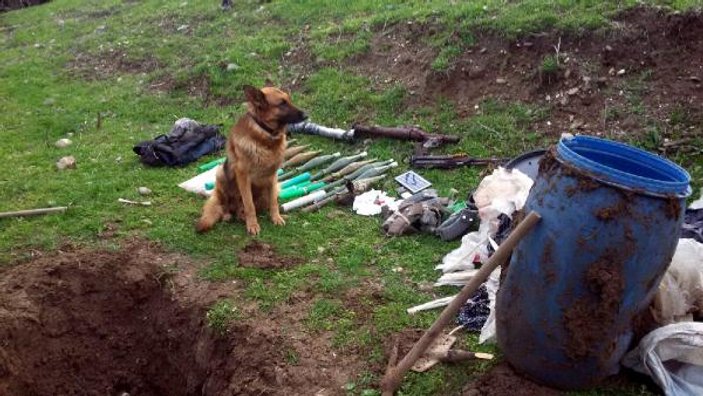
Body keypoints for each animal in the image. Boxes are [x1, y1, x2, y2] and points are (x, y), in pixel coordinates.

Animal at [198, 85, 308, 235]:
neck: (266, 137)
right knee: (227, 207)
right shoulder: (243, 177)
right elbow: (249, 204)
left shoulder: (273, 176)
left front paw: (276, 217)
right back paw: (229, 215)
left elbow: (273, 201)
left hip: (275, 187)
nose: (306, 115)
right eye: (282, 104)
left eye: (289, 100)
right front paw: (253, 225)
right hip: (221, 173)